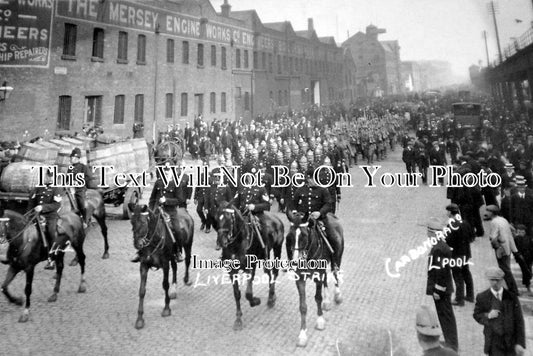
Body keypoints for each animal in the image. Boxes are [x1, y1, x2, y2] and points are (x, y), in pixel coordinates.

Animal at [215, 202, 284, 330]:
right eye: (216, 218)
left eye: (228, 218)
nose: (221, 241)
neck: (237, 244)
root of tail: (276, 219)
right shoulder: (232, 271)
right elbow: (237, 294)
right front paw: (238, 318)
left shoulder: (251, 268)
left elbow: (248, 294)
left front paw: (255, 301)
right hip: (264, 257)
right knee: (269, 273)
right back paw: (271, 296)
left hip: (277, 249)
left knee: (274, 272)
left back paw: (271, 297)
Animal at [284, 211, 342, 348]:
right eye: (289, 236)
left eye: (304, 236)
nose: (295, 262)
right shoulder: (300, 278)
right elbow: (303, 306)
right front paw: (302, 334)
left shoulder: (318, 275)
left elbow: (318, 298)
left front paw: (320, 320)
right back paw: (327, 301)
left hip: (336, 259)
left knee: (335, 273)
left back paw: (337, 295)